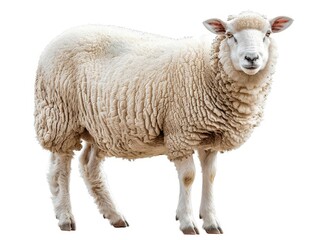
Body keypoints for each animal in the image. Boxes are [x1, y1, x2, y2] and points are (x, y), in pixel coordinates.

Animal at [33, 11, 294, 234]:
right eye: (230, 35)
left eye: (268, 33)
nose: (252, 58)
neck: (209, 71)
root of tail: (56, 39)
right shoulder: (182, 132)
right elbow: (188, 177)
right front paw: (187, 222)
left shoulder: (211, 136)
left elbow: (210, 176)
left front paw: (211, 222)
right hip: (60, 117)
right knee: (60, 170)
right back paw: (65, 218)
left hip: (101, 126)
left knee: (89, 166)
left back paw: (115, 216)